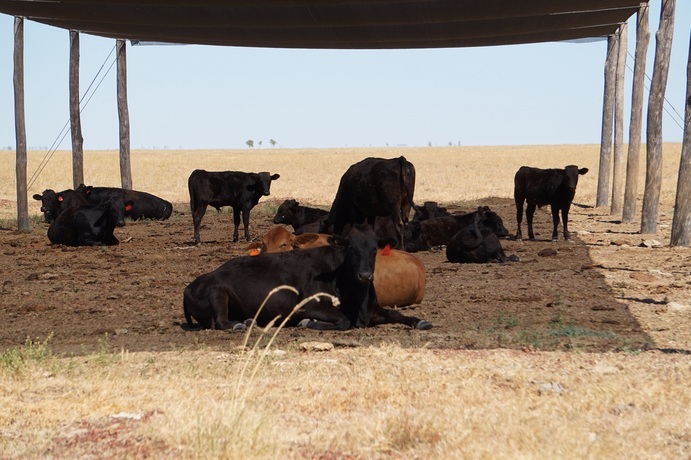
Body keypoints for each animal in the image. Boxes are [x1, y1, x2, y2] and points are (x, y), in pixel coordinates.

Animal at [184, 226, 432, 330]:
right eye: (351, 248)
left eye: (374, 250)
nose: (365, 275)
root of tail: (190, 286)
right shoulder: (308, 306)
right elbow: (343, 321)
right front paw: (308, 323)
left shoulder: (375, 309)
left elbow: (397, 314)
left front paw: (420, 321)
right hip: (218, 293)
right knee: (221, 321)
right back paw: (240, 325)